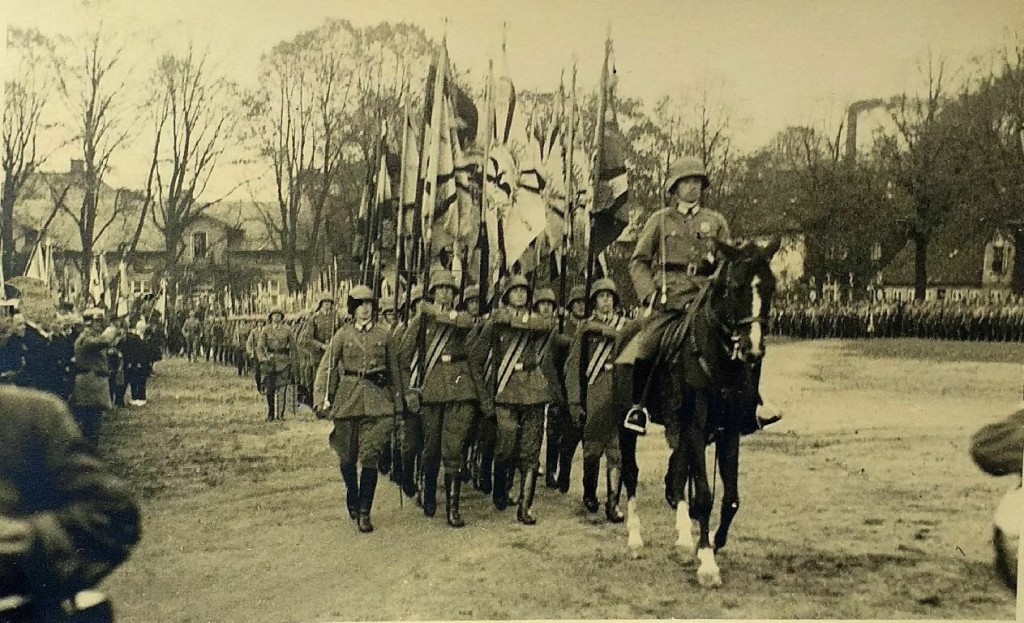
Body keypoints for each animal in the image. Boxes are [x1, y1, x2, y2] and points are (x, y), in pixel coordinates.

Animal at [610, 235, 778, 586]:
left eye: (771, 287)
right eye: (734, 287)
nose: (753, 349)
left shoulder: (728, 433)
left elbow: (730, 498)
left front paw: (712, 541)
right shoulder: (696, 430)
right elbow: (703, 495)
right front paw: (708, 564)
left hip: (678, 428)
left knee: (676, 477)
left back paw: (684, 540)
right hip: (626, 423)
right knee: (632, 473)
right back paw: (635, 539)